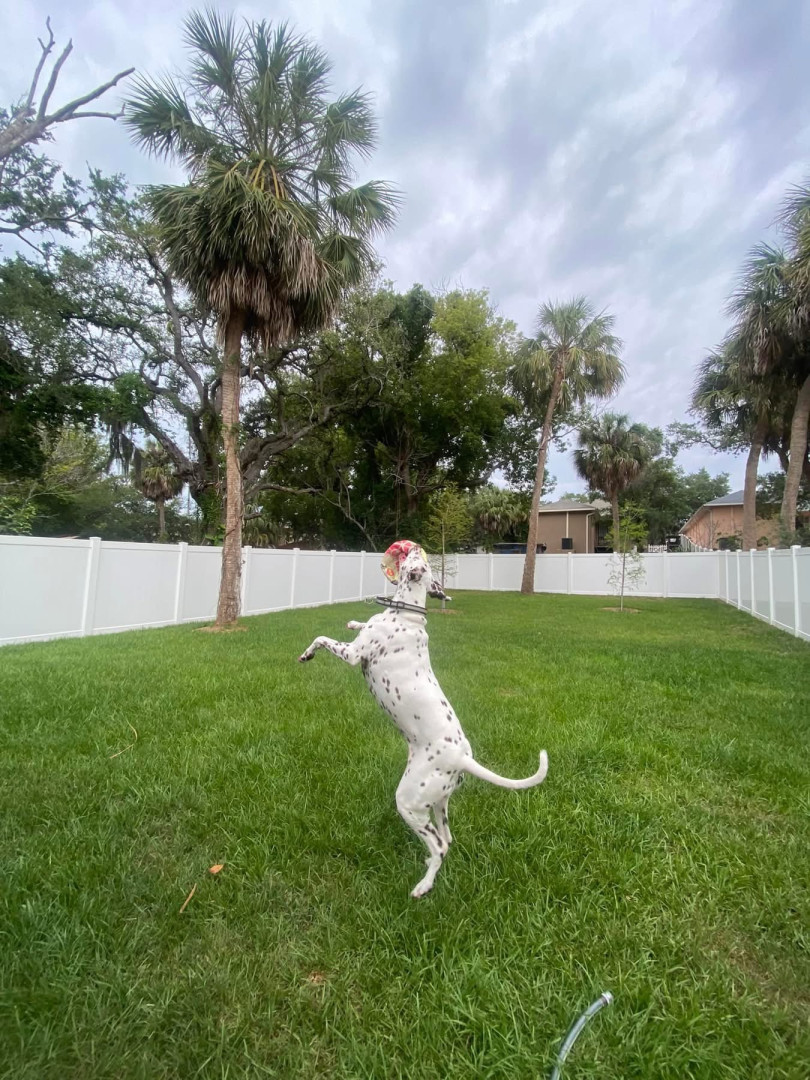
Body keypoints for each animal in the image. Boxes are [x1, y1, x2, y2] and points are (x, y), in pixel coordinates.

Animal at [298, 542, 548, 897]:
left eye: (418, 560)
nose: (414, 546)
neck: (407, 613)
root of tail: (462, 758)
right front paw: (353, 621)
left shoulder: (352, 655)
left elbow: (321, 638)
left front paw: (308, 653)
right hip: (438, 803)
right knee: (447, 839)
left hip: (409, 802)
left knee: (440, 846)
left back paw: (424, 885)